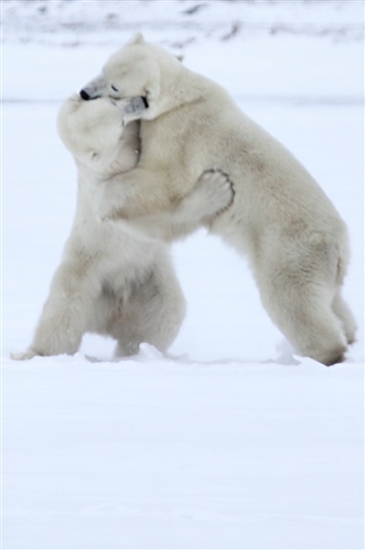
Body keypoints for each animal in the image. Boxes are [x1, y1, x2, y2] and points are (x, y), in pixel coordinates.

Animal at [13, 95, 233, 362]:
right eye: (118, 121)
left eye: (111, 99)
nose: (139, 102)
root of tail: (109, 314)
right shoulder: (116, 183)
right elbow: (154, 212)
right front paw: (216, 187)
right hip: (84, 274)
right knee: (63, 316)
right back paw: (37, 352)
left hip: (147, 280)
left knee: (163, 313)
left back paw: (135, 351)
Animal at [79, 32, 356, 364]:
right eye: (103, 67)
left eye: (115, 88)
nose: (83, 92)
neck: (181, 94)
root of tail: (339, 243)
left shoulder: (179, 130)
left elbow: (164, 178)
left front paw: (106, 196)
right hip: (322, 264)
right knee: (333, 301)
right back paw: (349, 335)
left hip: (288, 249)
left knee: (292, 300)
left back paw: (325, 353)